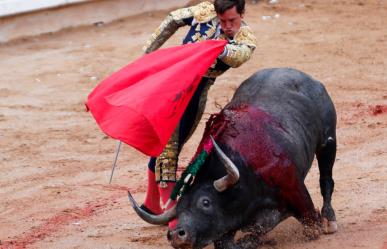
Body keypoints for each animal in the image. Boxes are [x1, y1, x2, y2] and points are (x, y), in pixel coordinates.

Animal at [129, 67, 338, 248]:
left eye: (206, 202)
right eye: (179, 209)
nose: (176, 235)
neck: (245, 172)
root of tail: (304, 77)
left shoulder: (296, 194)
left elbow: (310, 225)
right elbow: (237, 238)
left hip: (328, 142)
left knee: (326, 180)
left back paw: (330, 220)